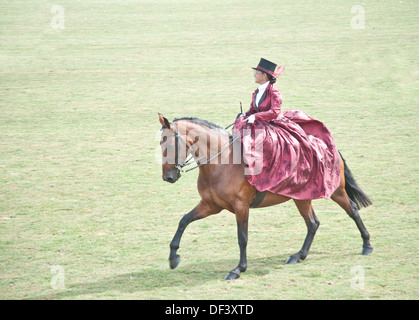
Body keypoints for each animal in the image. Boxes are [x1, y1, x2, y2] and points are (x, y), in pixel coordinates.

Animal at [158, 112, 374, 280]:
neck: (222, 162)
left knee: (352, 210)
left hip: (335, 191)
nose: (168, 177)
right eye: (160, 143)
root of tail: (327, 145)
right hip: (302, 197)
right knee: (313, 223)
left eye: (170, 144)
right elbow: (184, 221)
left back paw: (367, 245)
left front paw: (239, 269)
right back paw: (299, 256)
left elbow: (242, 237)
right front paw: (173, 258)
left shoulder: (241, 207)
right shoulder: (211, 205)